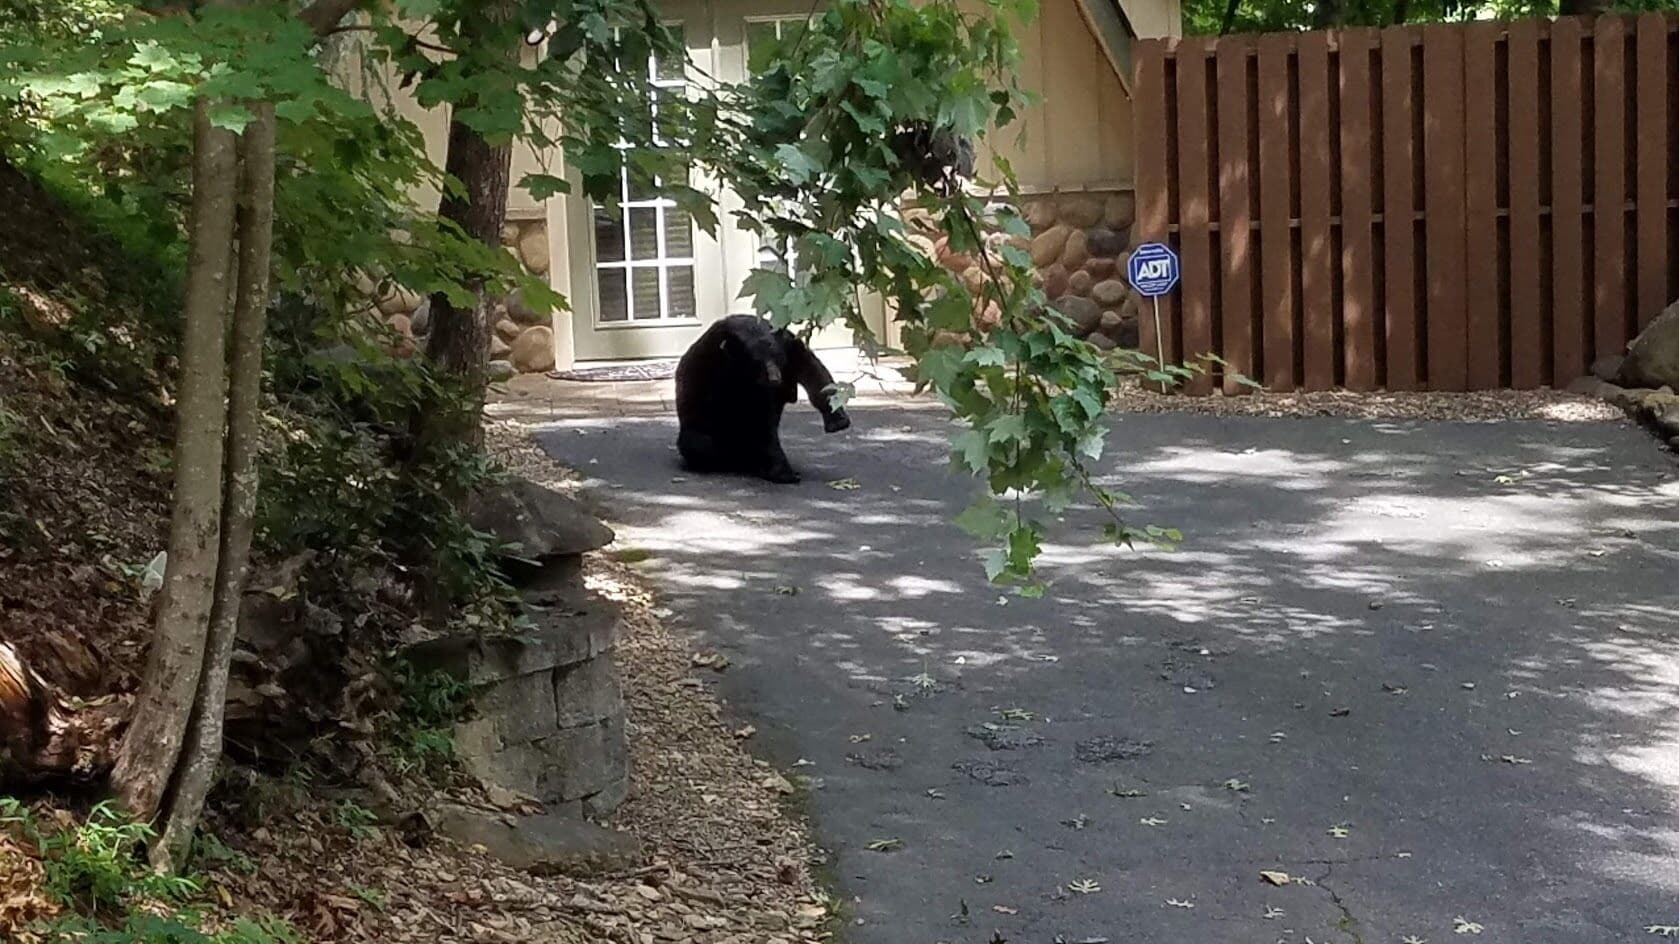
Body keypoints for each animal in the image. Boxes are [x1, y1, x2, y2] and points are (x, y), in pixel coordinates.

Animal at [675, 314, 851, 484]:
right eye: (756, 362)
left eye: (776, 357)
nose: (775, 378)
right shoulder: (723, 371)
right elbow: (760, 419)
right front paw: (784, 473)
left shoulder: (789, 346)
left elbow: (812, 370)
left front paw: (837, 418)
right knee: (698, 442)